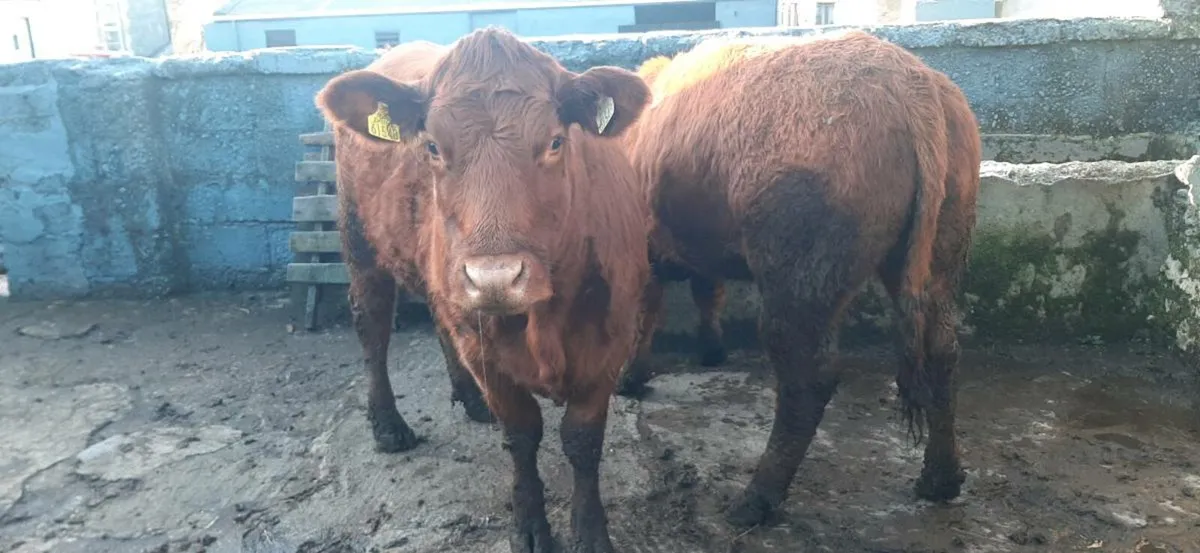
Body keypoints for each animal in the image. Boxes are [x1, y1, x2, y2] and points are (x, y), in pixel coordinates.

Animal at [617, 30, 982, 527]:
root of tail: (912, 87)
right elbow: (707, 291)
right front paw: (711, 348)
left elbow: (646, 313)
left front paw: (631, 377)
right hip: (937, 255)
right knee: (942, 351)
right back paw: (940, 479)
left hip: (798, 280)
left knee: (808, 379)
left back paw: (756, 498)